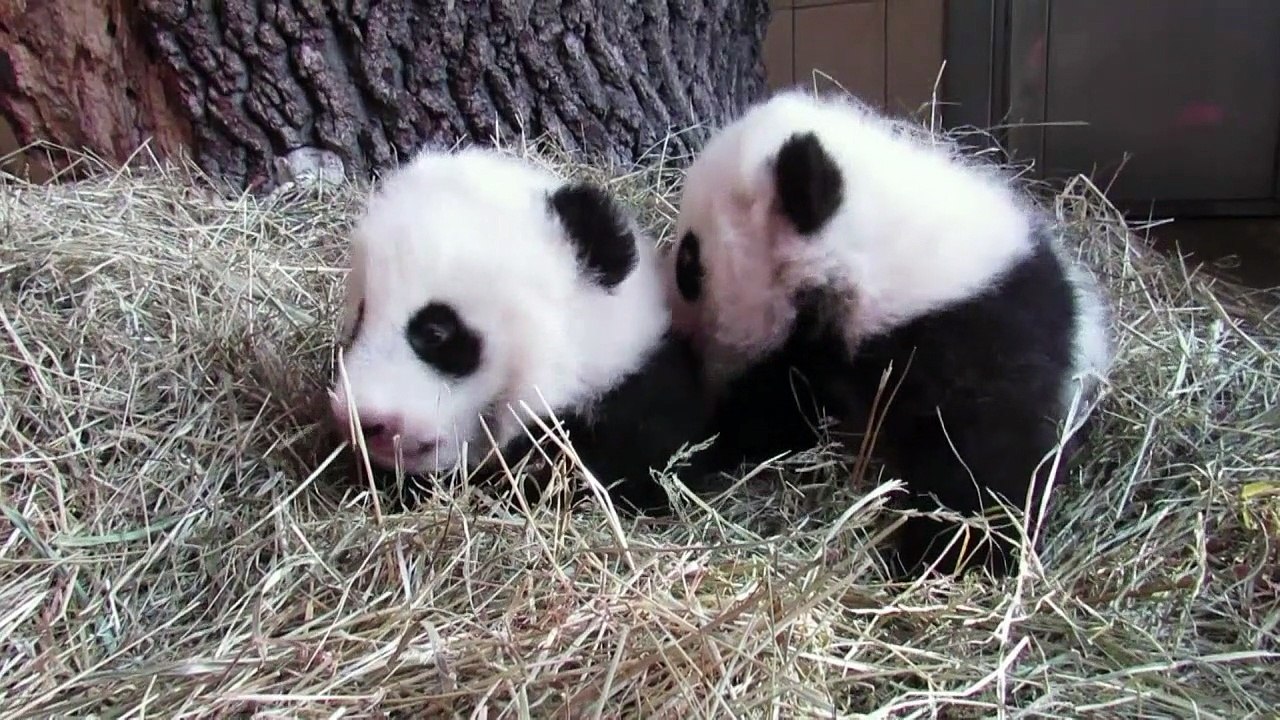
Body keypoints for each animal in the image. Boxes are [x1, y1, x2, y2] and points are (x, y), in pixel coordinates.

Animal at [661, 89, 1114, 578]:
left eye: (688, 262)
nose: (672, 323)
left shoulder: (978, 335)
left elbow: (985, 457)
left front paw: (949, 558)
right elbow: (778, 410)